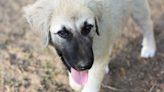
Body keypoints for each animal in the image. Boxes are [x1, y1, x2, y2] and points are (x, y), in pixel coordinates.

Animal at [23, 0, 156, 91]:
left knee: (148, 26)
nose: (85, 66)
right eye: (62, 33)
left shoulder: (97, 61)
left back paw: (149, 48)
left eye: (87, 27)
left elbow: (91, 85)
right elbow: (76, 82)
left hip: (138, 10)